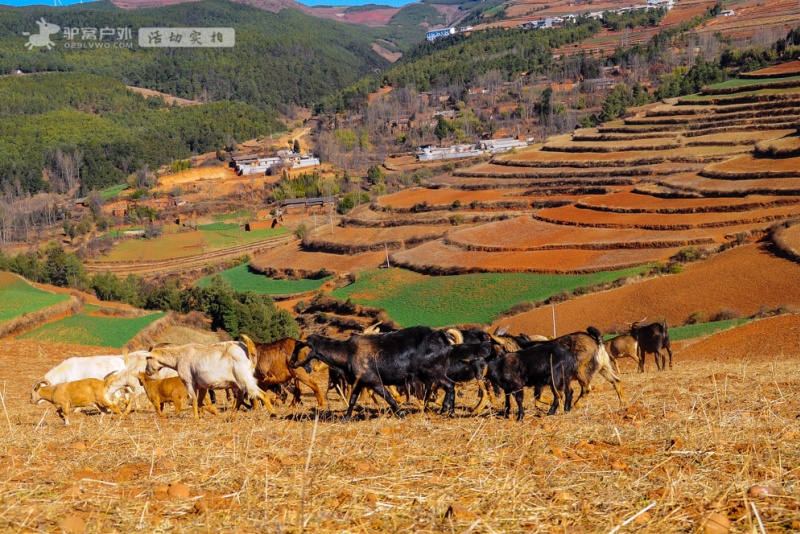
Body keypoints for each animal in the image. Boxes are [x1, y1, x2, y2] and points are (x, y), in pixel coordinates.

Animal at [145, 344, 276, 422]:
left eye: (148, 359)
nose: (146, 371)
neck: (177, 358)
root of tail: (249, 353)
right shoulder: (202, 386)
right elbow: (199, 402)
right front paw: (212, 412)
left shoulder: (189, 381)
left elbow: (194, 401)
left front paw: (196, 417)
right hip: (238, 384)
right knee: (239, 400)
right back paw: (231, 417)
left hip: (245, 379)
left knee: (263, 395)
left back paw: (273, 414)